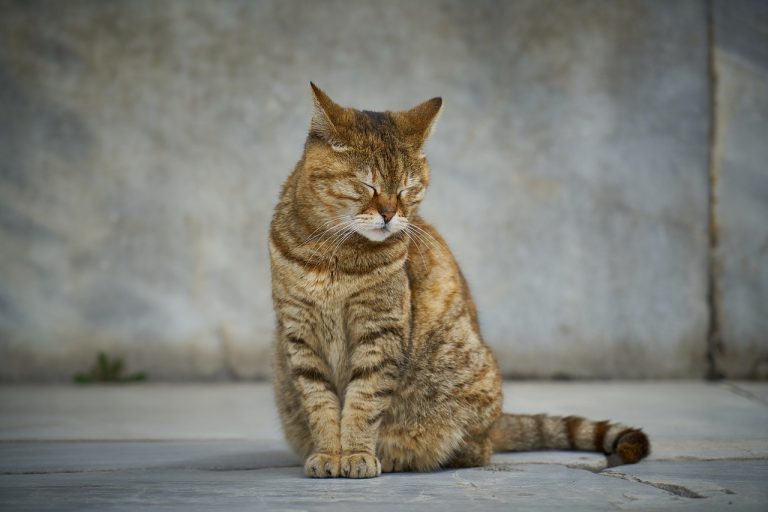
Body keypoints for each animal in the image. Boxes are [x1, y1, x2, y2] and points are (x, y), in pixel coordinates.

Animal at [270, 82, 648, 478]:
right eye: (366, 186)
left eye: (407, 190)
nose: (389, 214)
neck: (332, 253)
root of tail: (497, 425)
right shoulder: (300, 334)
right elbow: (320, 403)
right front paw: (329, 453)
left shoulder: (381, 331)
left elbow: (364, 400)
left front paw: (357, 453)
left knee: (475, 450)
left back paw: (401, 456)